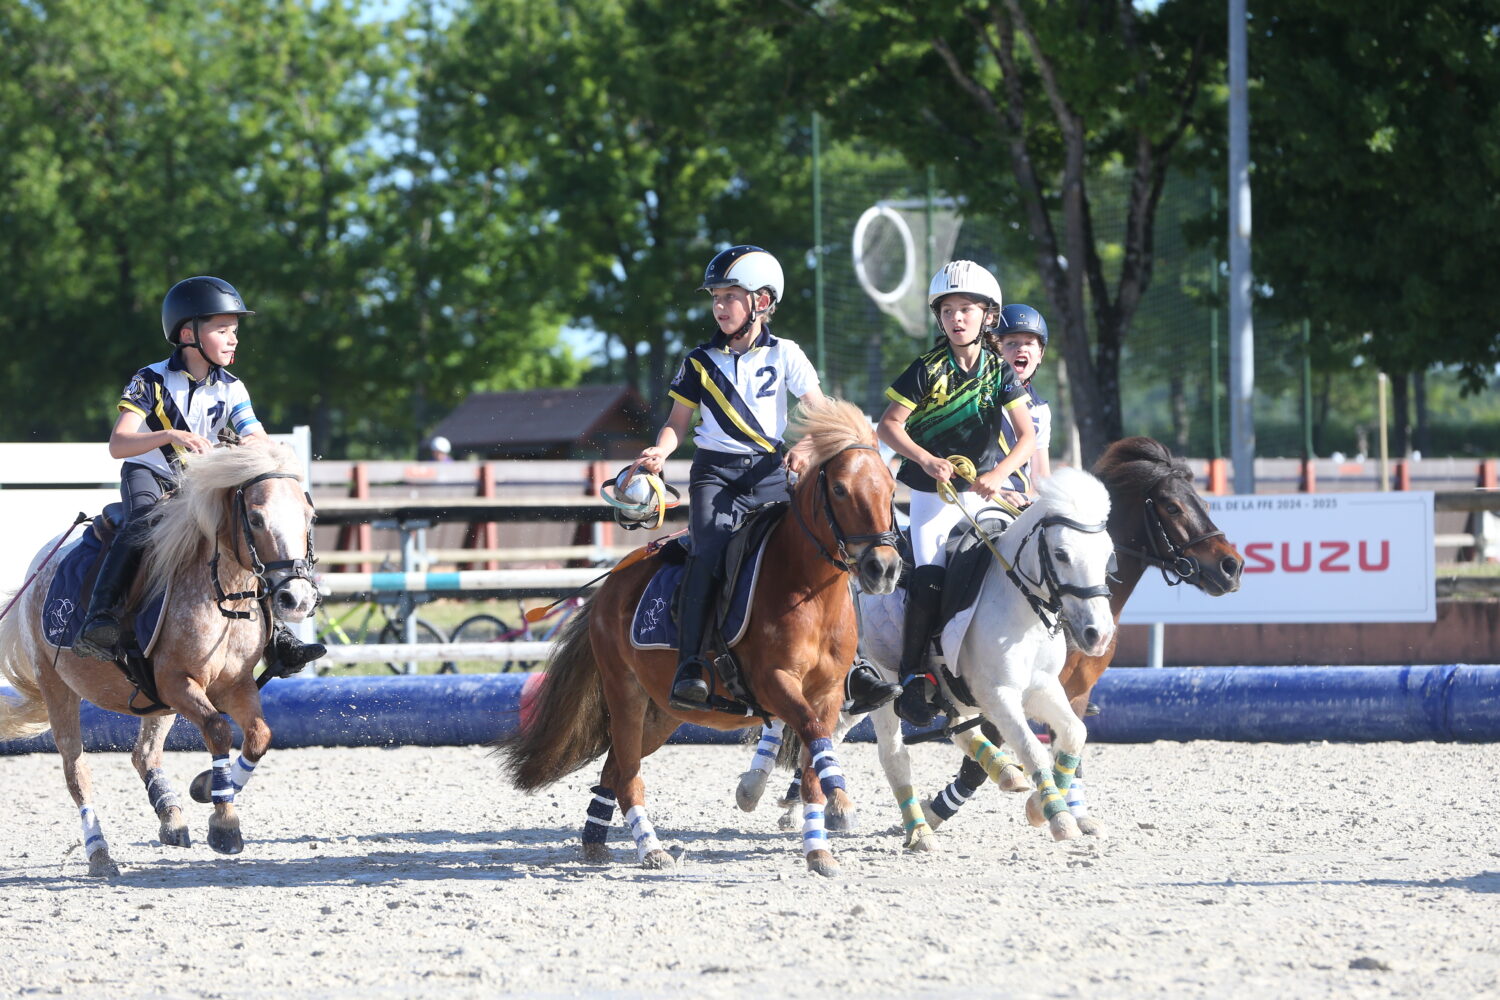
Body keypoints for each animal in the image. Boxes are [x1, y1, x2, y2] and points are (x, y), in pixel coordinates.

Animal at [0, 442, 318, 876]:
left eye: (309, 516)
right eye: (255, 518)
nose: (295, 599)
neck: (223, 593)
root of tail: (38, 567)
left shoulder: (235, 684)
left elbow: (258, 736)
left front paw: (208, 788)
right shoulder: (178, 682)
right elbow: (218, 730)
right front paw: (224, 823)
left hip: (157, 704)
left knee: (144, 754)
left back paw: (171, 816)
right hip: (59, 689)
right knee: (76, 771)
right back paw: (99, 852)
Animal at [495, 398, 902, 877]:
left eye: (890, 488)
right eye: (839, 489)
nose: (883, 568)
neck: (808, 590)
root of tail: (611, 584)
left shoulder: (828, 692)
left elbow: (814, 755)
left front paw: (819, 846)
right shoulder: (775, 683)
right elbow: (814, 738)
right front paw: (829, 794)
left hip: (662, 713)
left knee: (614, 768)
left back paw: (595, 841)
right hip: (626, 695)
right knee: (627, 775)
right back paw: (650, 849)